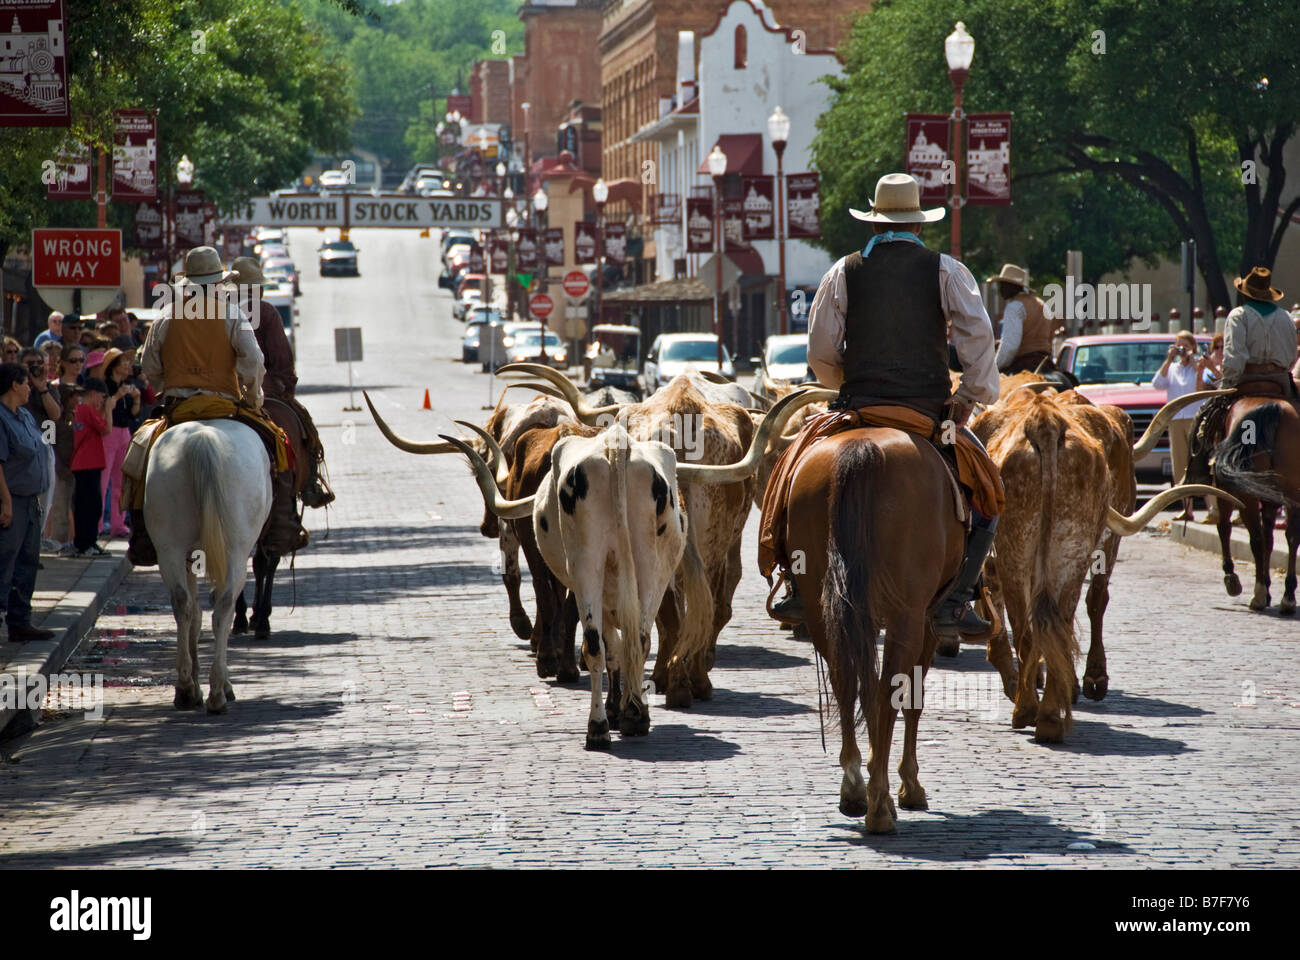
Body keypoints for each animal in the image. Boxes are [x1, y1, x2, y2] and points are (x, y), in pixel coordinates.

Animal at [145, 418, 271, 712]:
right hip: (235, 548)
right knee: (223, 605)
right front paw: (221, 683)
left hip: (169, 545)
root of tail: (201, 440)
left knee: (182, 602)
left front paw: (193, 682)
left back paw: (185, 689)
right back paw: (217, 693)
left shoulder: (188, 555)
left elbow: (194, 611)